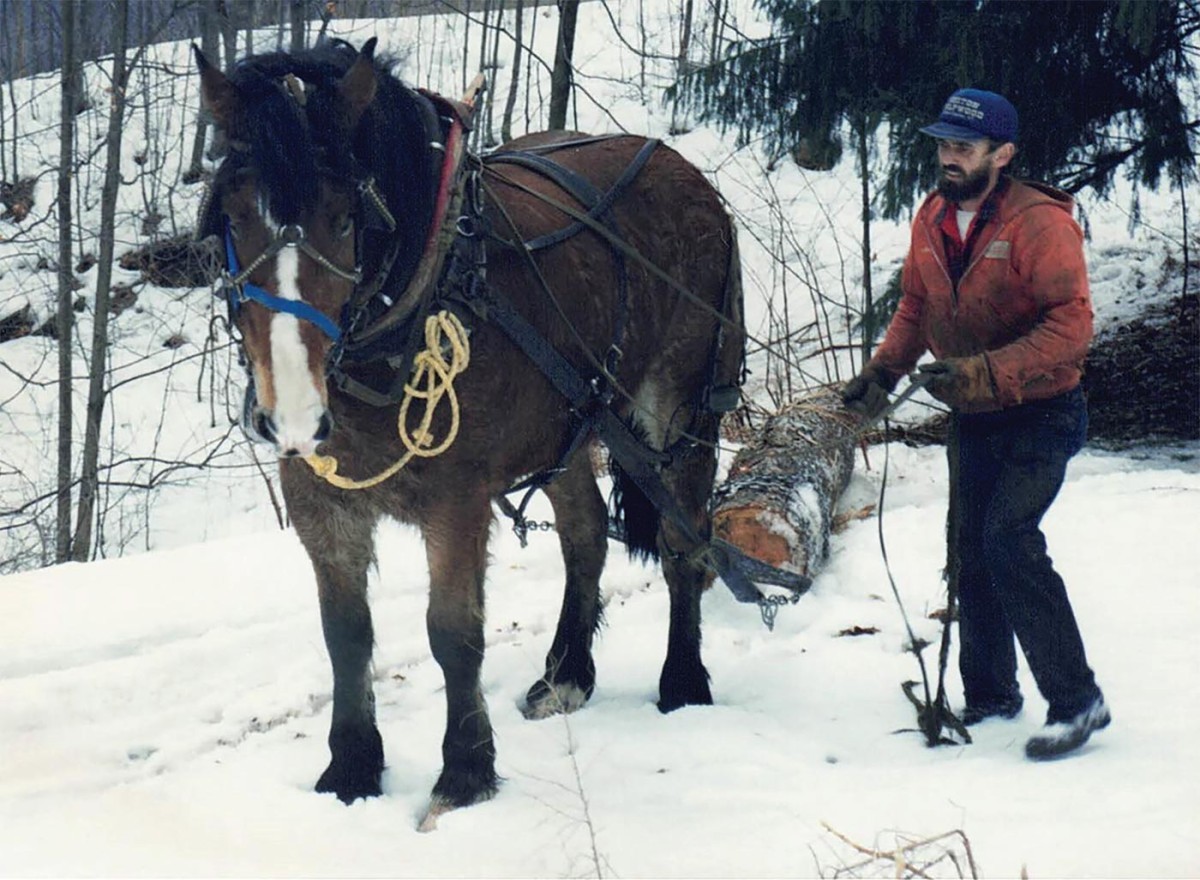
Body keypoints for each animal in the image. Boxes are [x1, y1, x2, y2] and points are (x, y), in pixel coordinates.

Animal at [194, 38, 745, 827]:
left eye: (344, 217)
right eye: (235, 217)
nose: (293, 414)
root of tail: (683, 169)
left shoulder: (455, 499)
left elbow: (452, 632)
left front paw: (464, 772)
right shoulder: (317, 499)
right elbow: (345, 634)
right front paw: (351, 768)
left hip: (683, 409)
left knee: (683, 546)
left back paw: (683, 681)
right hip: (570, 426)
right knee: (585, 536)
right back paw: (568, 672)